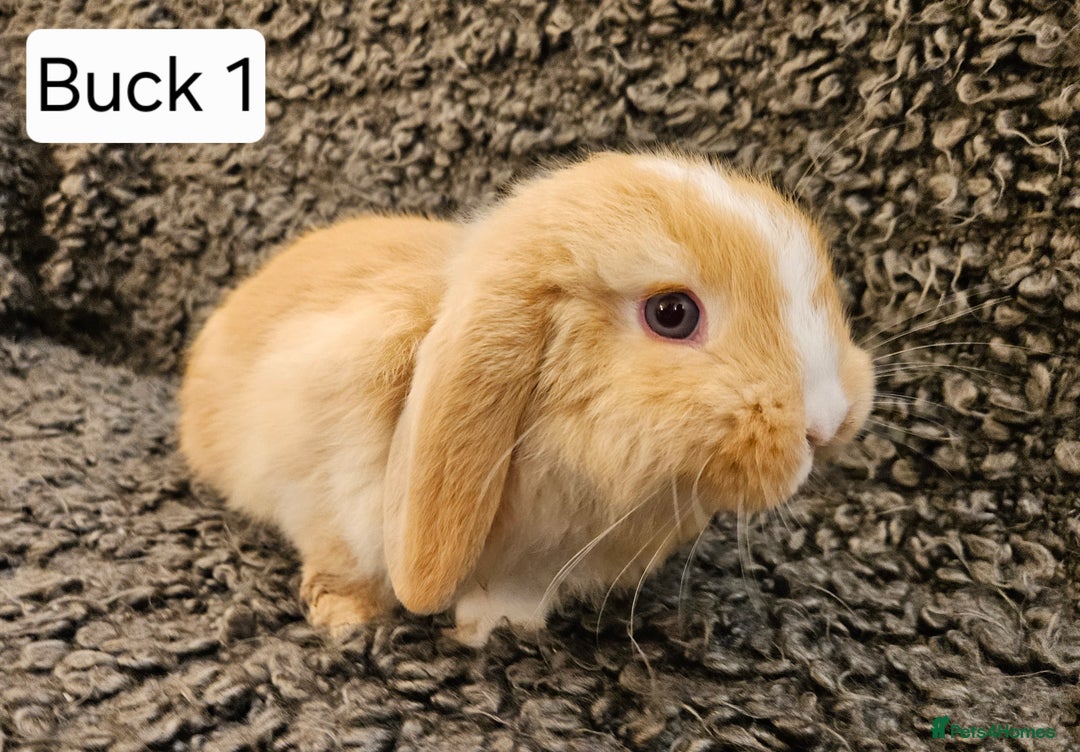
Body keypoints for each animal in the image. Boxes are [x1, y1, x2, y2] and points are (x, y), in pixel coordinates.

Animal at [178, 151, 875, 645]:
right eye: (672, 314)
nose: (828, 421)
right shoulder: (322, 486)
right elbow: (338, 556)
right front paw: (348, 620)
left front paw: (504, 625)